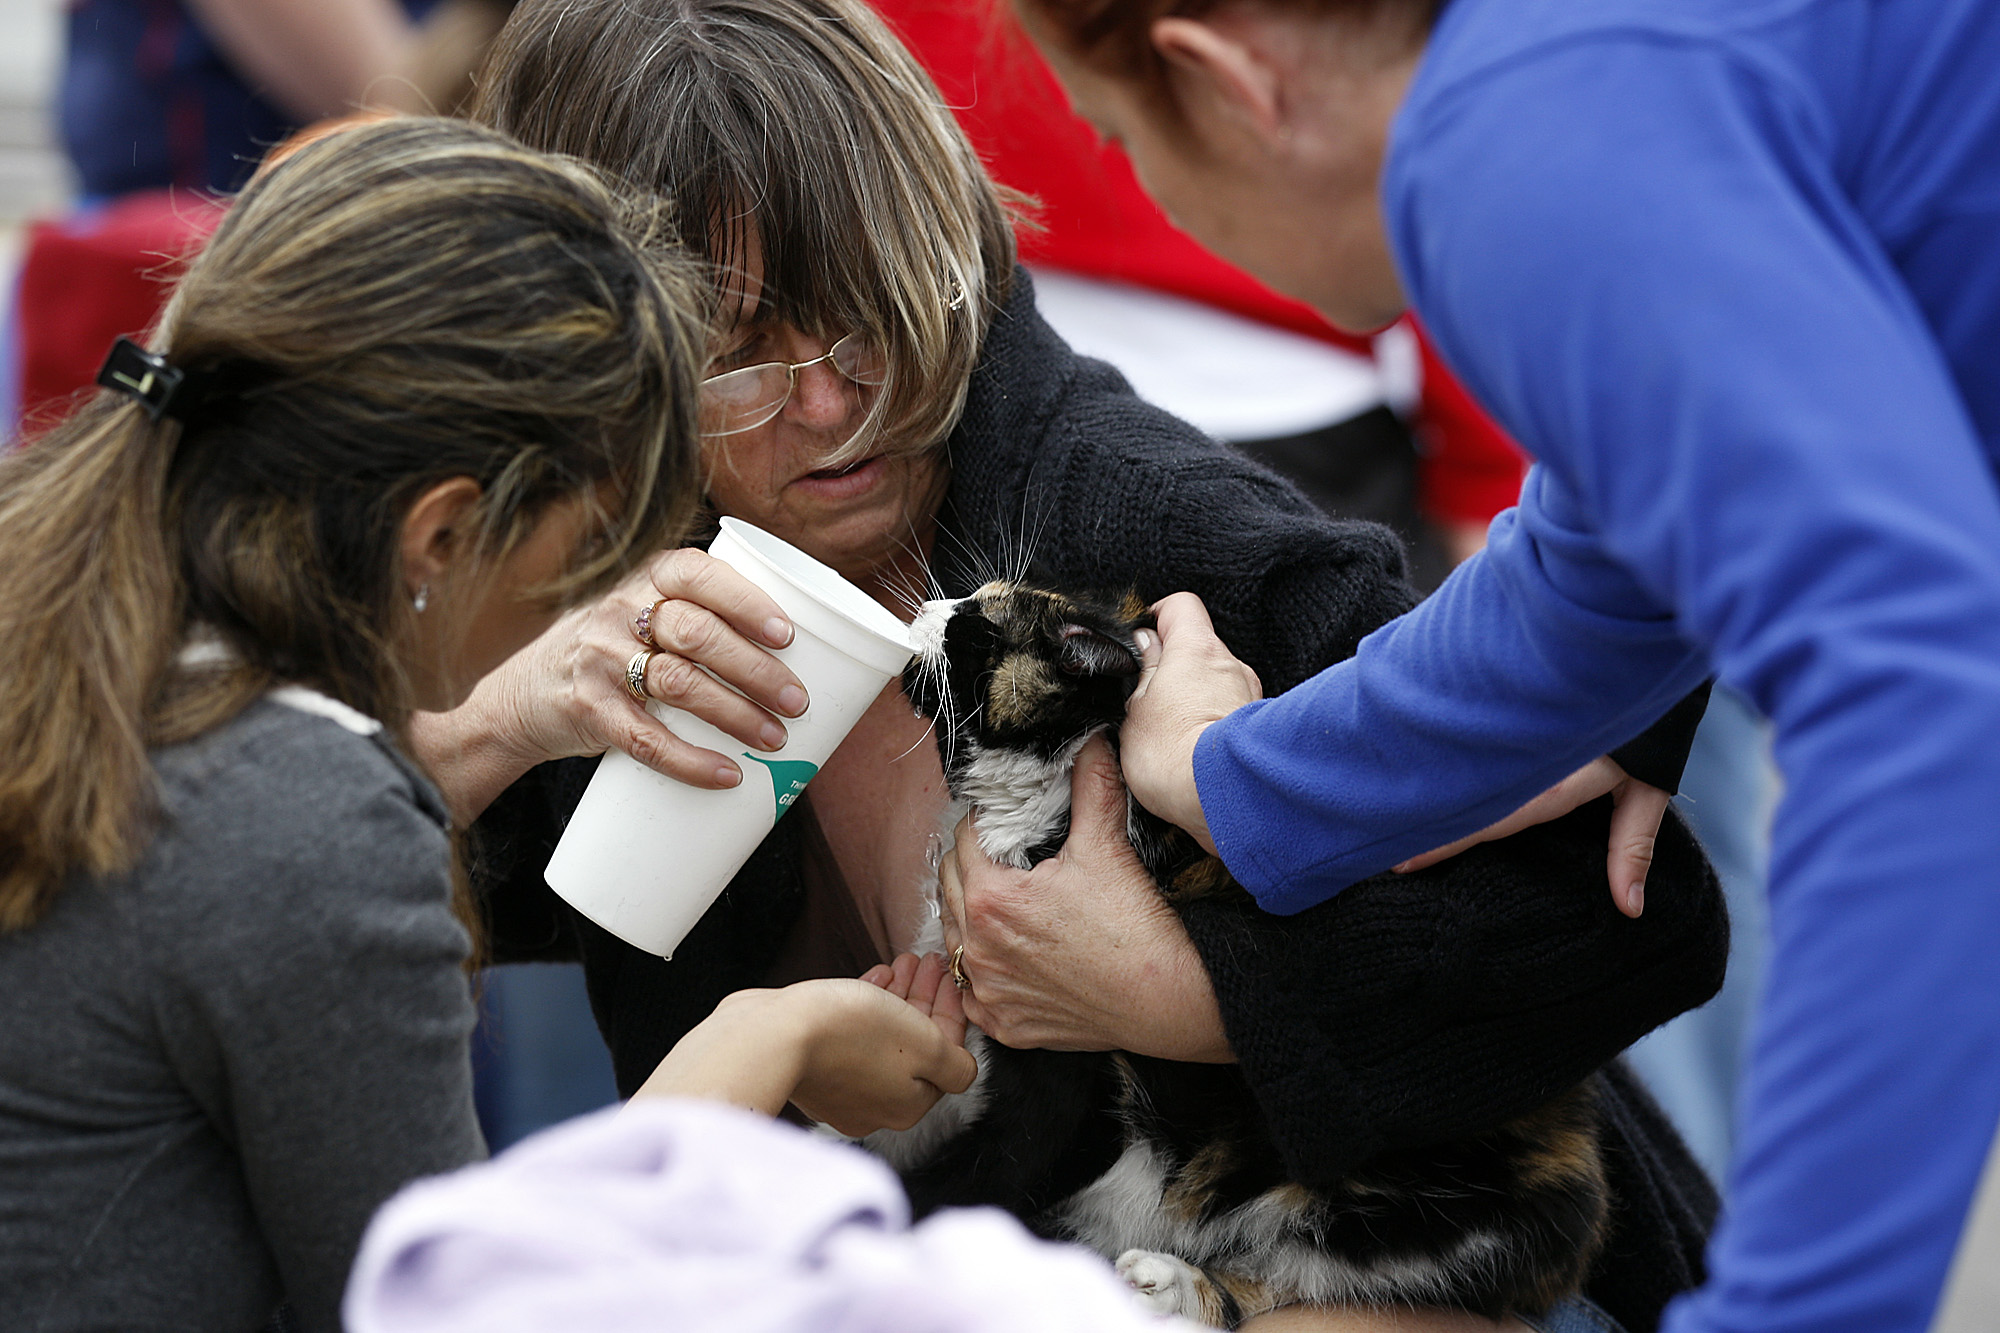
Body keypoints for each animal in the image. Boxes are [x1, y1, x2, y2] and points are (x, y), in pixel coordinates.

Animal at [876, 580, 1608, 1328]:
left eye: (981, 629)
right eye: (975, 597)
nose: (929, 608)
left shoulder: (1062, 1103)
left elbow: (956, 1186)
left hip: (1402, 1219)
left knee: (1282, 1281)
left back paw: (1161, 1283)